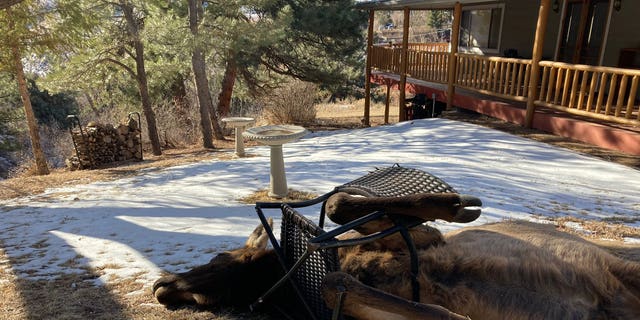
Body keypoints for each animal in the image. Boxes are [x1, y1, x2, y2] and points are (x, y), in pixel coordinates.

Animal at [154, 192, 640, 320]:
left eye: (219, 259)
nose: (162, 285)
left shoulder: (424, 239)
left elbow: (339, 207)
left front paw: (455, 203)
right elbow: (334, 283)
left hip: (623, 262)